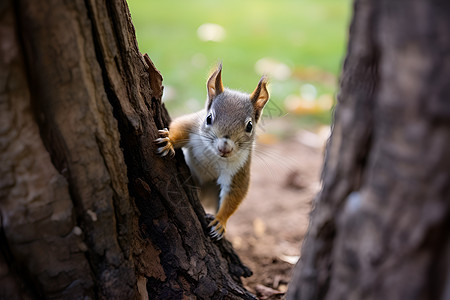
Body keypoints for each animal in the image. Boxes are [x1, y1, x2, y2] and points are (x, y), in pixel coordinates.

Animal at [156, 63, 268, 239]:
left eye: (250, 126)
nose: (225, 148)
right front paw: (169, 141)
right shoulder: (192, 125)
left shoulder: (240, 168)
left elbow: (235, 193)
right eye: (209, 118)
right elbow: (179, 127)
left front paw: (220, 222)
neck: (214, 155)